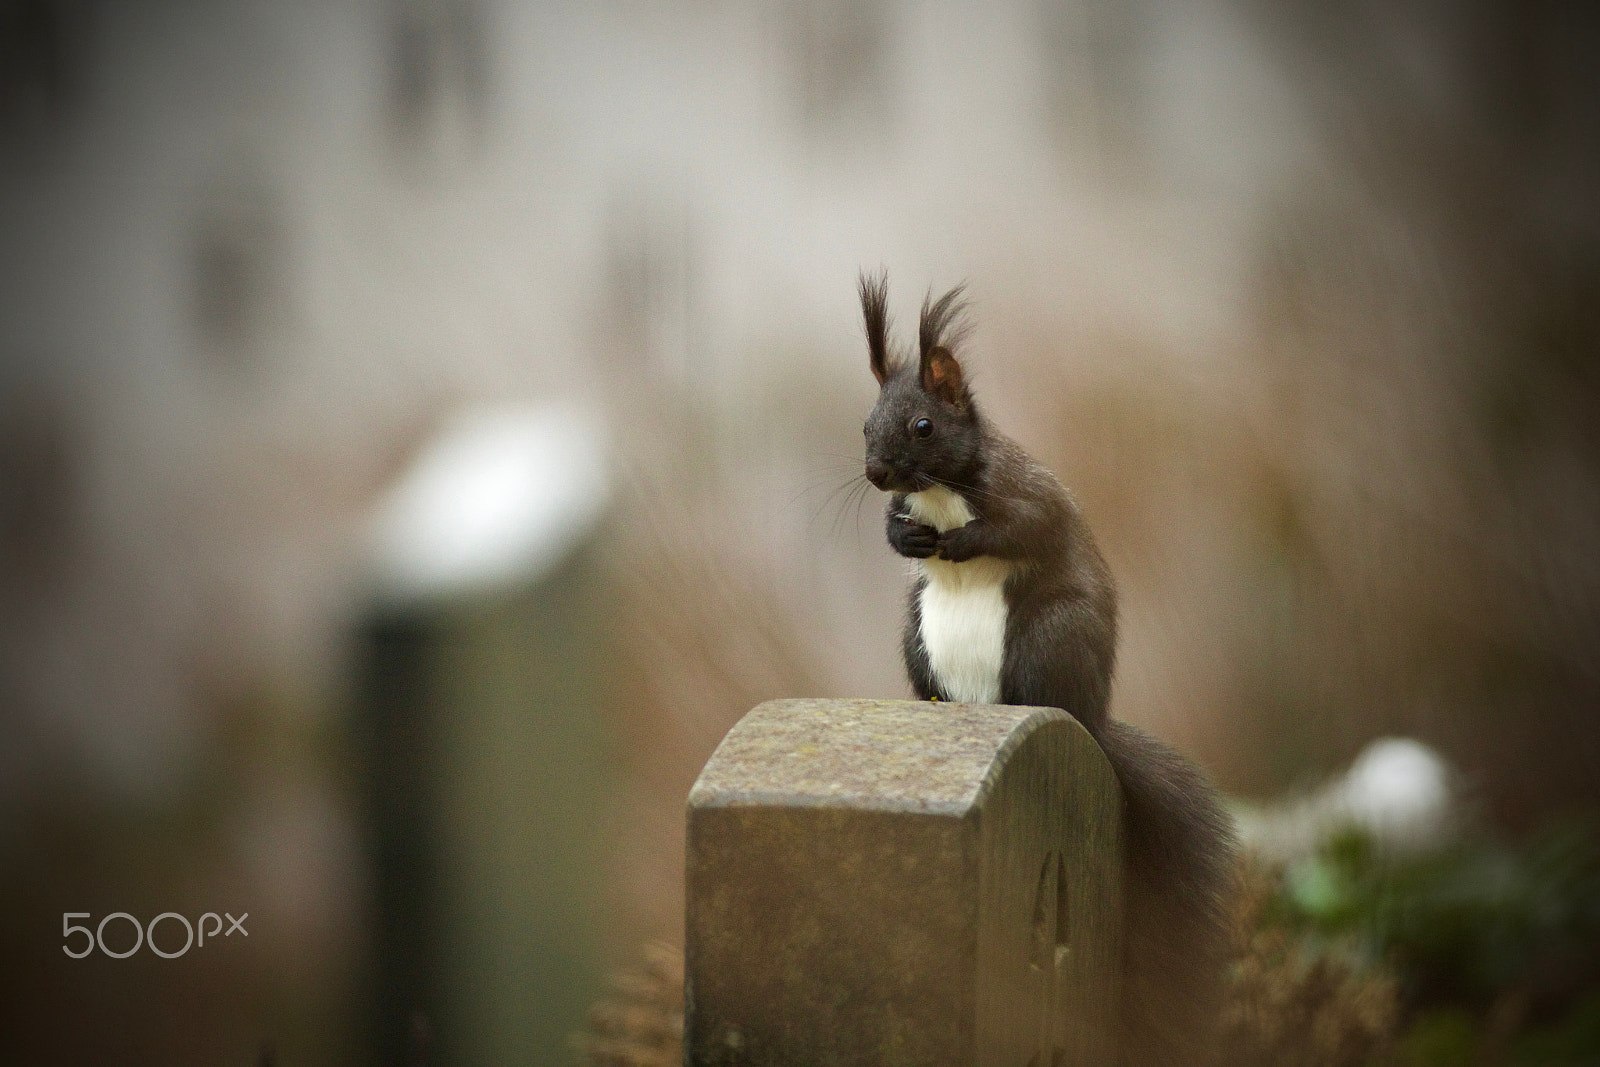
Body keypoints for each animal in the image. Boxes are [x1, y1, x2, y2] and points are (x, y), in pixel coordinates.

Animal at [858, 272, 1237, 1065]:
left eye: (923, 427)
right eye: (864, 425)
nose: (876, 473)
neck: (941, 490)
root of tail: (1093, 718)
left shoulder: (1031, 493)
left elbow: (1026, 525)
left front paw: (961, 540)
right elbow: (897, 529)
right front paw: (906, 536)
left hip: (1048, 638)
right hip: (917, 637)